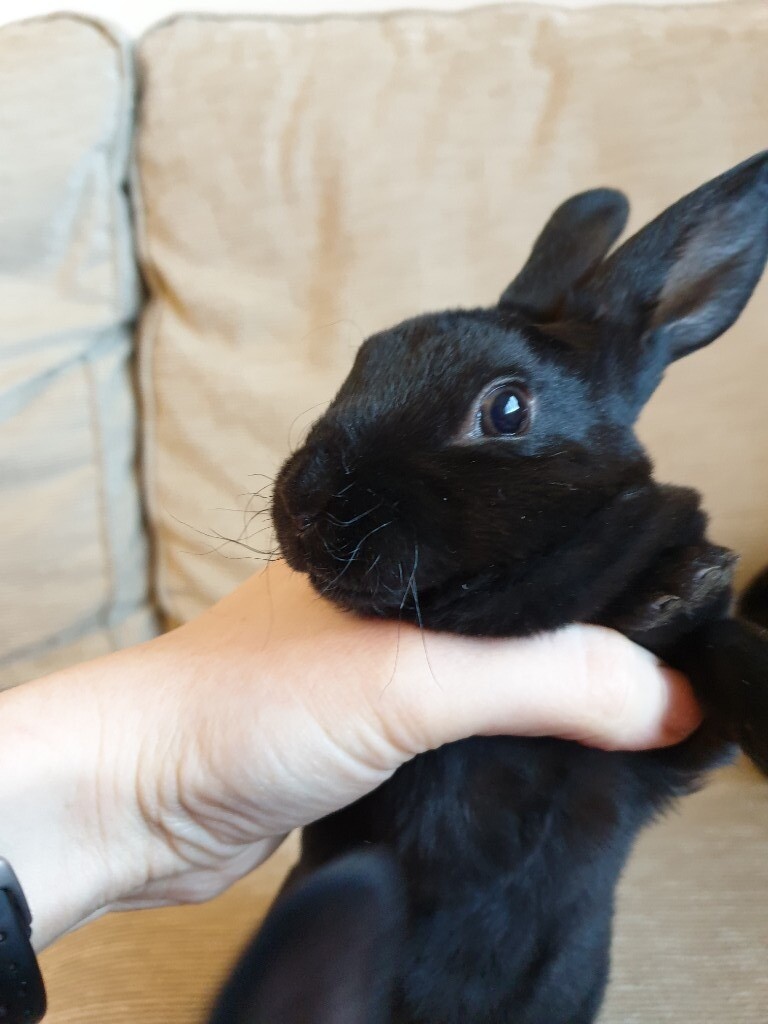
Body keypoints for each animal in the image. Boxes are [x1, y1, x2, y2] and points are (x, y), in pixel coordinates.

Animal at [269, 152, 768, 1024]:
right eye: (363, 361)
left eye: (505, 410)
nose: (305, 500)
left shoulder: (667, 751)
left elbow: (724, 641)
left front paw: (685, 597)